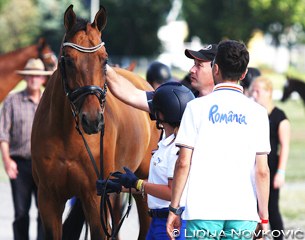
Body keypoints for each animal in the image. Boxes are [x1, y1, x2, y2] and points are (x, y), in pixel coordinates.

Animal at [31, 5, 158, 240]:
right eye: (68, 59)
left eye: (104, 59)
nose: (91, 119)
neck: (67, 136)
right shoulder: (48, 198)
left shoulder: (95, 196)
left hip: (142, 185)